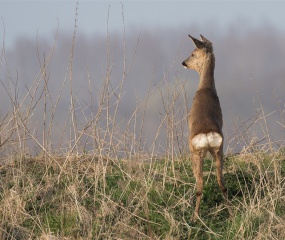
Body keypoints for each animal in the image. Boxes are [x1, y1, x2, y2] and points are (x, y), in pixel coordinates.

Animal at [182, 34, 231, 221]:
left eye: (193, 53)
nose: (184, 62)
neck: (205, 89)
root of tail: (207, 135)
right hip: (219, 150)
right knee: (221, 182)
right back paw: (231, 214)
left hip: (196, 152)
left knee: (200, 184)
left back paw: (194, 218)